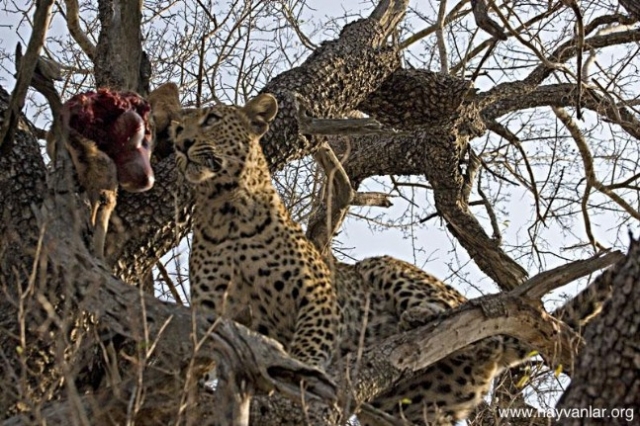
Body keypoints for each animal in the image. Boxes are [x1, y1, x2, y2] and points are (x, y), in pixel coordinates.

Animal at [170, 94, 340, 370]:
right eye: (177, 130)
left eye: (212, 119)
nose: (181, 144)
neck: (226, 208)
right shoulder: (210, 309)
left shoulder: (317, 291)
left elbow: (311, 341)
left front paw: (303, 368)